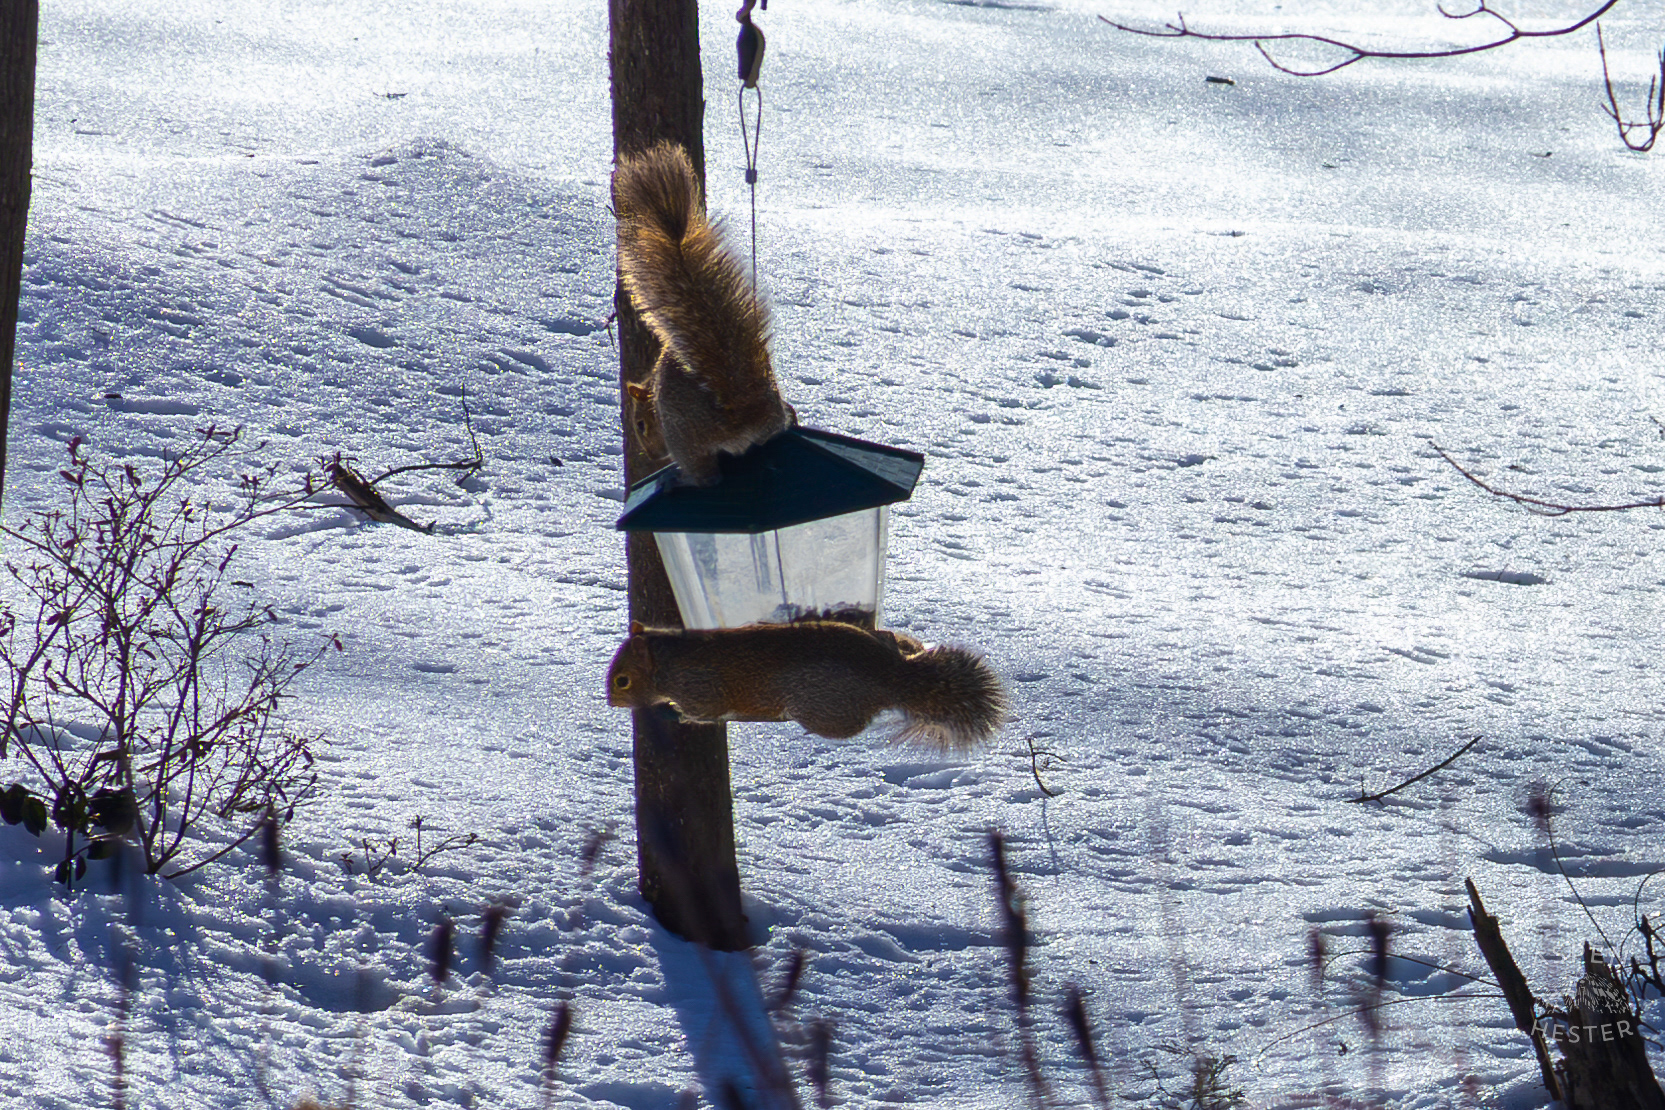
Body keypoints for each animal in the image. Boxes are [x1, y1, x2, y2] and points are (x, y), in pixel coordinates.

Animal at [606, 620, 1006, 751]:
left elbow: (703, 713)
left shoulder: (702, 689)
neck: (670, 662)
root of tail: (892, 677)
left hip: (819, 707)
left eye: (622, 681)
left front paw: (673, 712)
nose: (611, 703)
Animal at [613, 141, 794, 486]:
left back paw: (680, 479)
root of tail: (745, 413)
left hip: (683, 434)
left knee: (707, 476)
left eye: (640, 424)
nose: (652, 456)